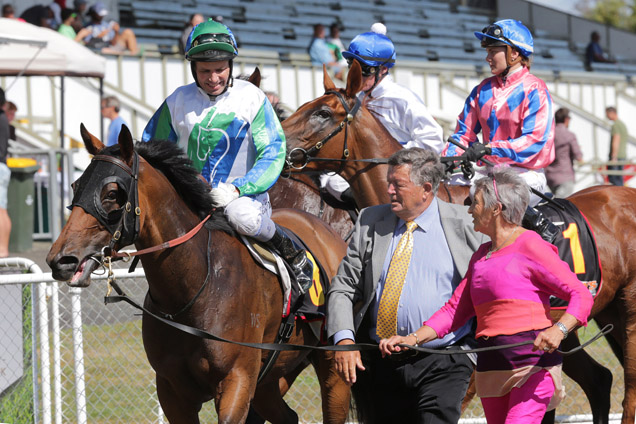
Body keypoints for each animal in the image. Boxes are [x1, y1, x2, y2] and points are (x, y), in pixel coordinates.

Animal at [47, 126, 350, 424]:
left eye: (111, 193)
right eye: (76, 186)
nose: (61, 260)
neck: (194, 290)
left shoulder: (236, 380)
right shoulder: (172, 390)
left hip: (334, 364)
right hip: (272, 377)